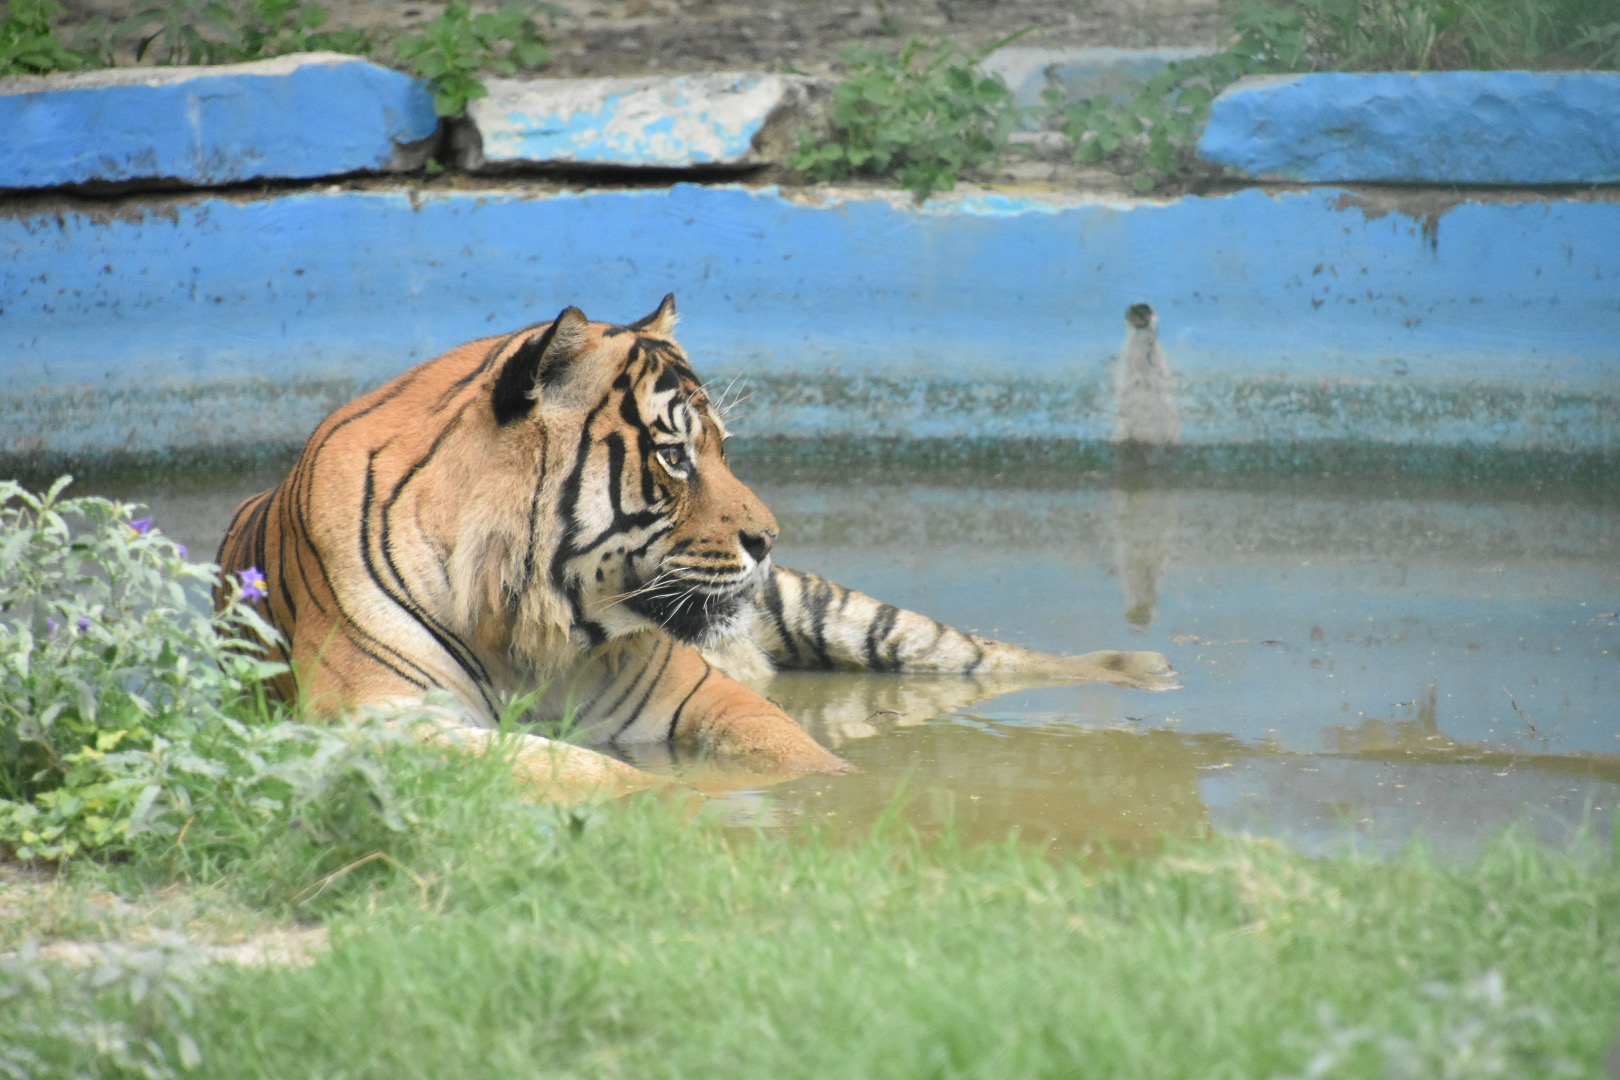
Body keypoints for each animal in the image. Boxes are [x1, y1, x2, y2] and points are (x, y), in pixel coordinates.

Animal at [218, 296, 1179, 793]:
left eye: (720, 446)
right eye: (675, 456)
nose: (770, 537)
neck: (529, 625)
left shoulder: (696, 693)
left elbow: (797, 746)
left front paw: (840, 790)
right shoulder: (384, 719)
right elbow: (596, 776)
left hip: (851, 620)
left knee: (982, 655)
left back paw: (1143, 669)